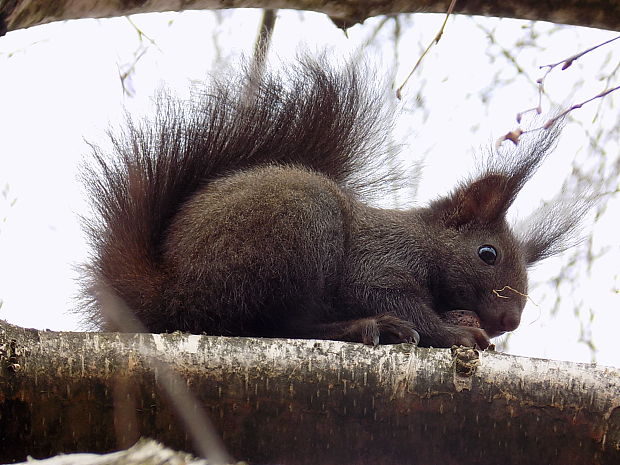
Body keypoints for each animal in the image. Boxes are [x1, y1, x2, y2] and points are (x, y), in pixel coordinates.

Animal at [78, 57, 588, 348]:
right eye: (487, 253)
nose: (510, 321)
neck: (423, 240)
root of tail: (166, 292)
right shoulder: (380, 261)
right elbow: (393, 298)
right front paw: (456, 331)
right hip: (293, 234)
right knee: (271, 323)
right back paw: (364, 328)